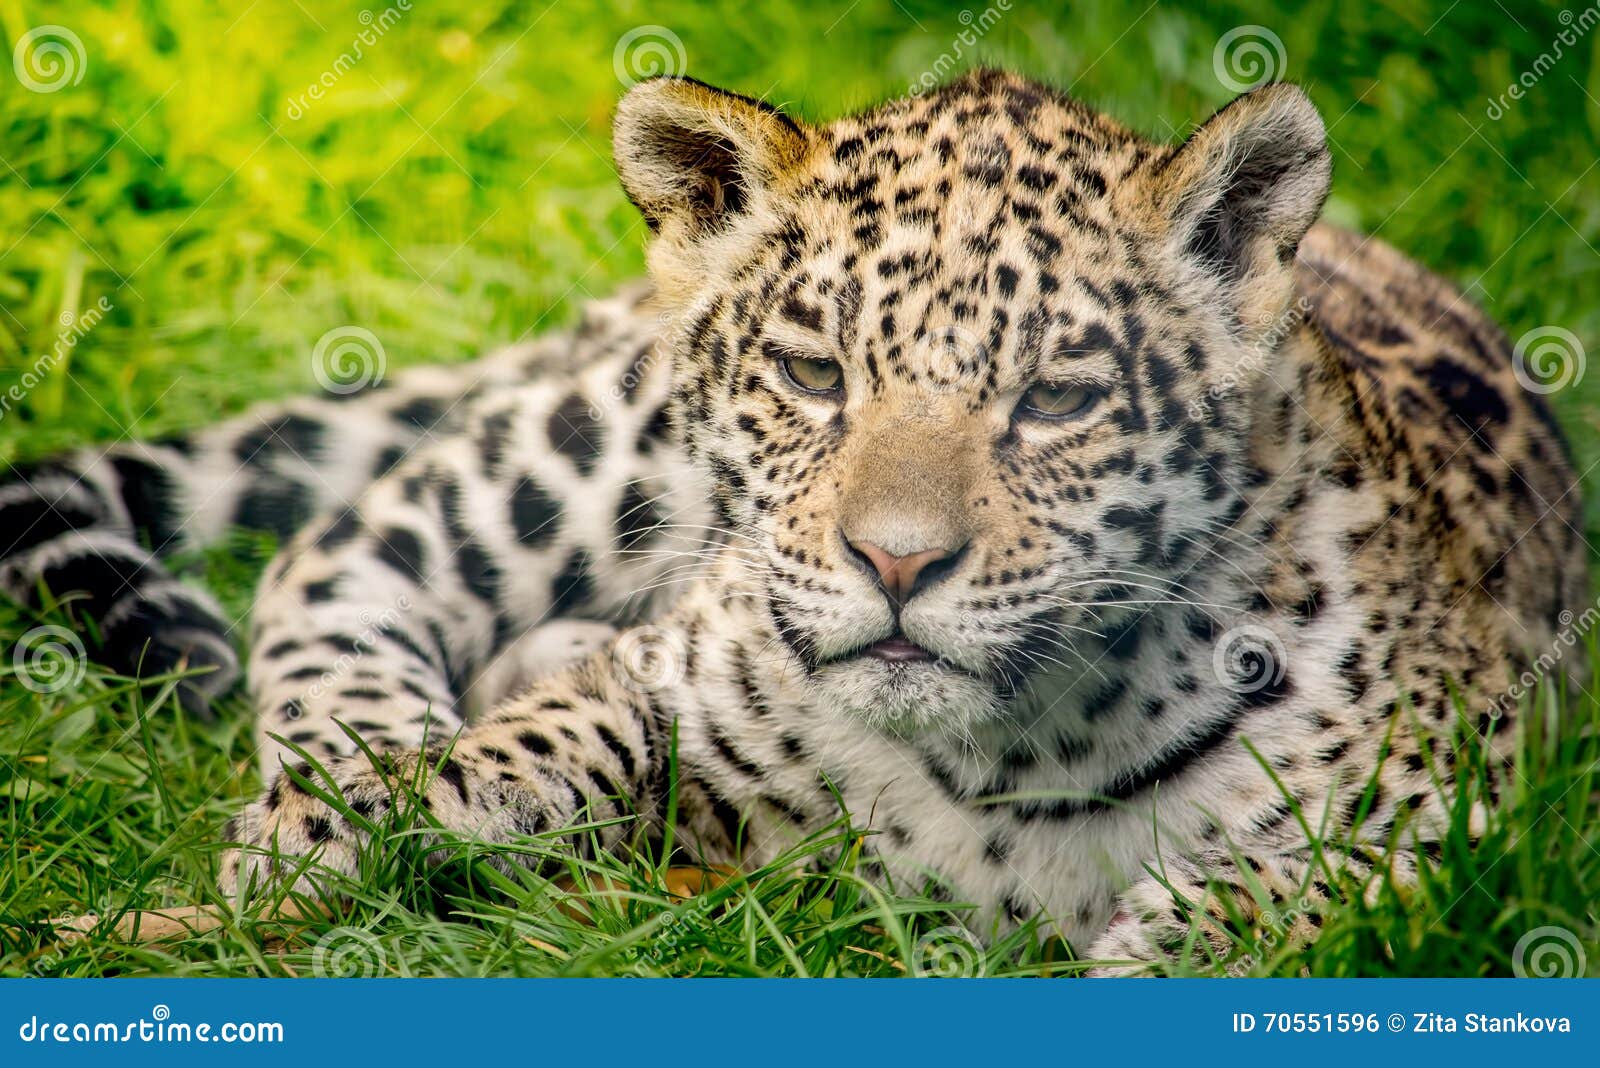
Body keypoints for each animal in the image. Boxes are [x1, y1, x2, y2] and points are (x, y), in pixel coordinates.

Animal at [5, 69, 1585, 974]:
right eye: (818, 374)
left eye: (1059, 400)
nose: (895, 562)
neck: (1012, 755)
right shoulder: (689, 662)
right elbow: (545, 740)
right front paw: (349, 827)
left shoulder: (1465, 798)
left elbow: (1288, 905)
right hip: (600, 441)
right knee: (339, 543)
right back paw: (345, 751)